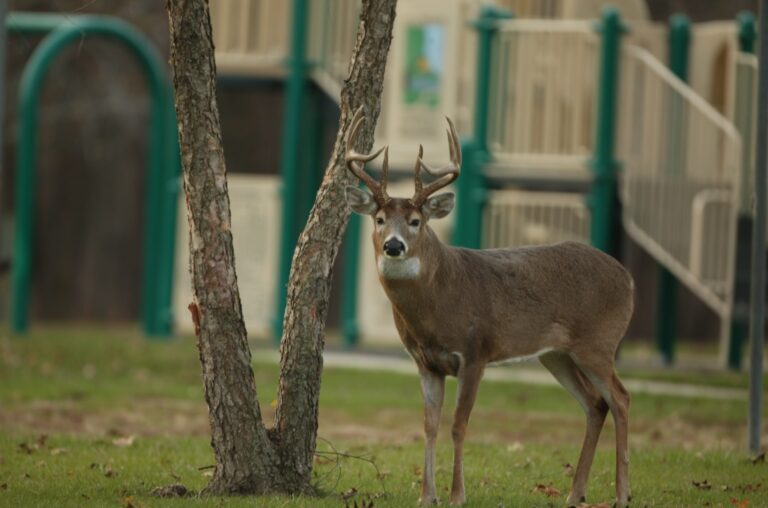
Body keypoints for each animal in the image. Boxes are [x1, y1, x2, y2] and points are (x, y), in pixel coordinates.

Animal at [344, 108, 632, 508]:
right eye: (379, 219)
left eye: (416, 221)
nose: (394, 245)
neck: (436, 305)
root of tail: (628, 278)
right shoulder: (425, 361)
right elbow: (429, 425)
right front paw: (426, 496)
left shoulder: (475, 352)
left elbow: (458, 424)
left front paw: (456, 495)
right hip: (557, 354)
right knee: (595, 404)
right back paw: (576, 494)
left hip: (599, 342)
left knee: (620, 398)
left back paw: (622, 494)